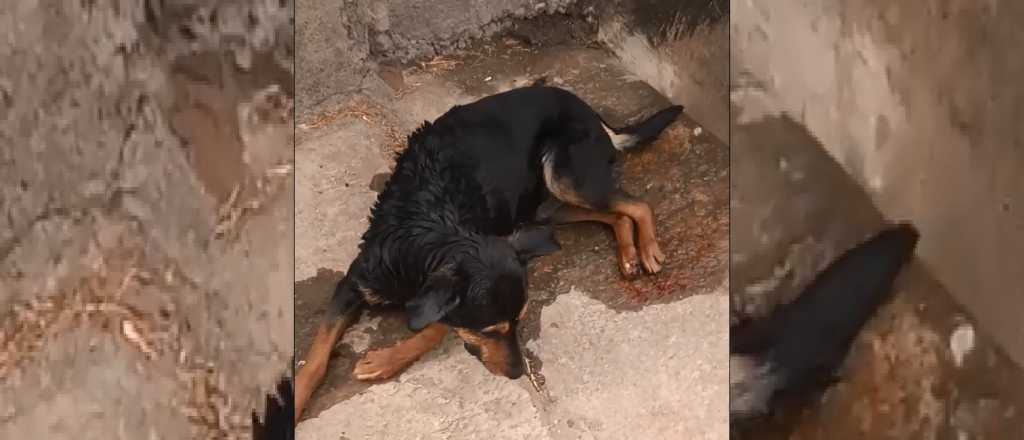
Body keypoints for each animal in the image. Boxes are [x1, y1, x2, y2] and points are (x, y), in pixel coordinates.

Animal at [292, 84, 684, 421]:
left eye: (521, 320)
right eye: (493, 330)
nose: (517, 374)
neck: (436, 229)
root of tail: (591, 113)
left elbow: (433, 329)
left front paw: (385, 360)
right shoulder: (354, 282)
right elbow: (316, 356)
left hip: (564, 181)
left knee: (638, 205)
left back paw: (648, 251)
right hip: (545, 208)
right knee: (618, 214)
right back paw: (629, 255)